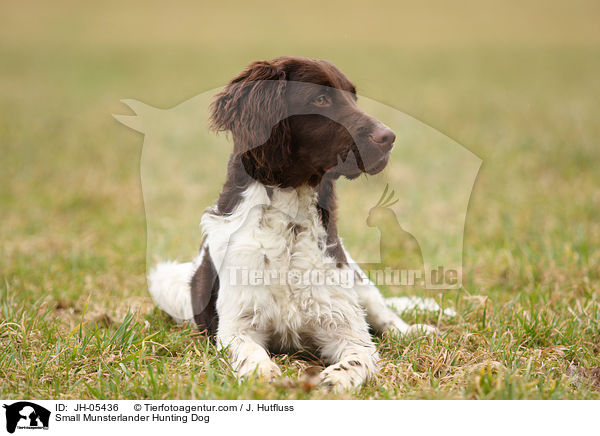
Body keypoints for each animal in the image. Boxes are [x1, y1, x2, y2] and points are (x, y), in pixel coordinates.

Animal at [148, 56, 434, 390]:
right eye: (321, 99)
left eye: (353, 97)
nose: (388, 137)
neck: (291, 227)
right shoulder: (236, 327)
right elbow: (250, 352)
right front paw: (263, 374)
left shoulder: (344, 326)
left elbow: (358, 356)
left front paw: (334, 379)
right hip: (167, 283)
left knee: (385, 314)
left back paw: (416, 330)